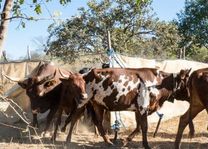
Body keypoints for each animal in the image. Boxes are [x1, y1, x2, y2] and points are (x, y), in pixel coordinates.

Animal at [60, 68, 188, 149]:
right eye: (186, 81)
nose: (190, 95)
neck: (158, 83)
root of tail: (84, 73)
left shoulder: (138, 109)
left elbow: (138, 127)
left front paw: (126, 141)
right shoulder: (143, 107)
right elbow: (144, 127)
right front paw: (146, 145)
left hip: (97, 104)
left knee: (98, 122)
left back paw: (108, 142)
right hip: (83, 102)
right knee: (74, 118)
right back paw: (67, 140)